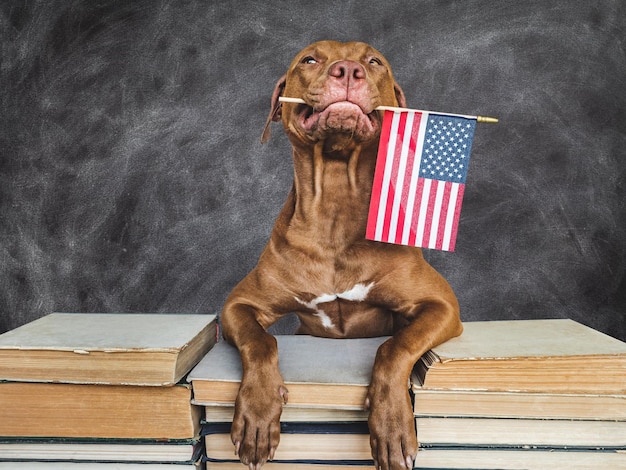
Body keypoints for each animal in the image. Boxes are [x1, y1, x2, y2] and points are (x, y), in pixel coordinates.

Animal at [222, 41, 460, 470]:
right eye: (310, 59)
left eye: (374, 61)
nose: (348, 70)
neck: (335, 203)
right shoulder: (240, 305)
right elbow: (261, 342)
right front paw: (257, 413)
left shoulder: (441, 305)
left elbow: (394, 347)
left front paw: (392, 425)